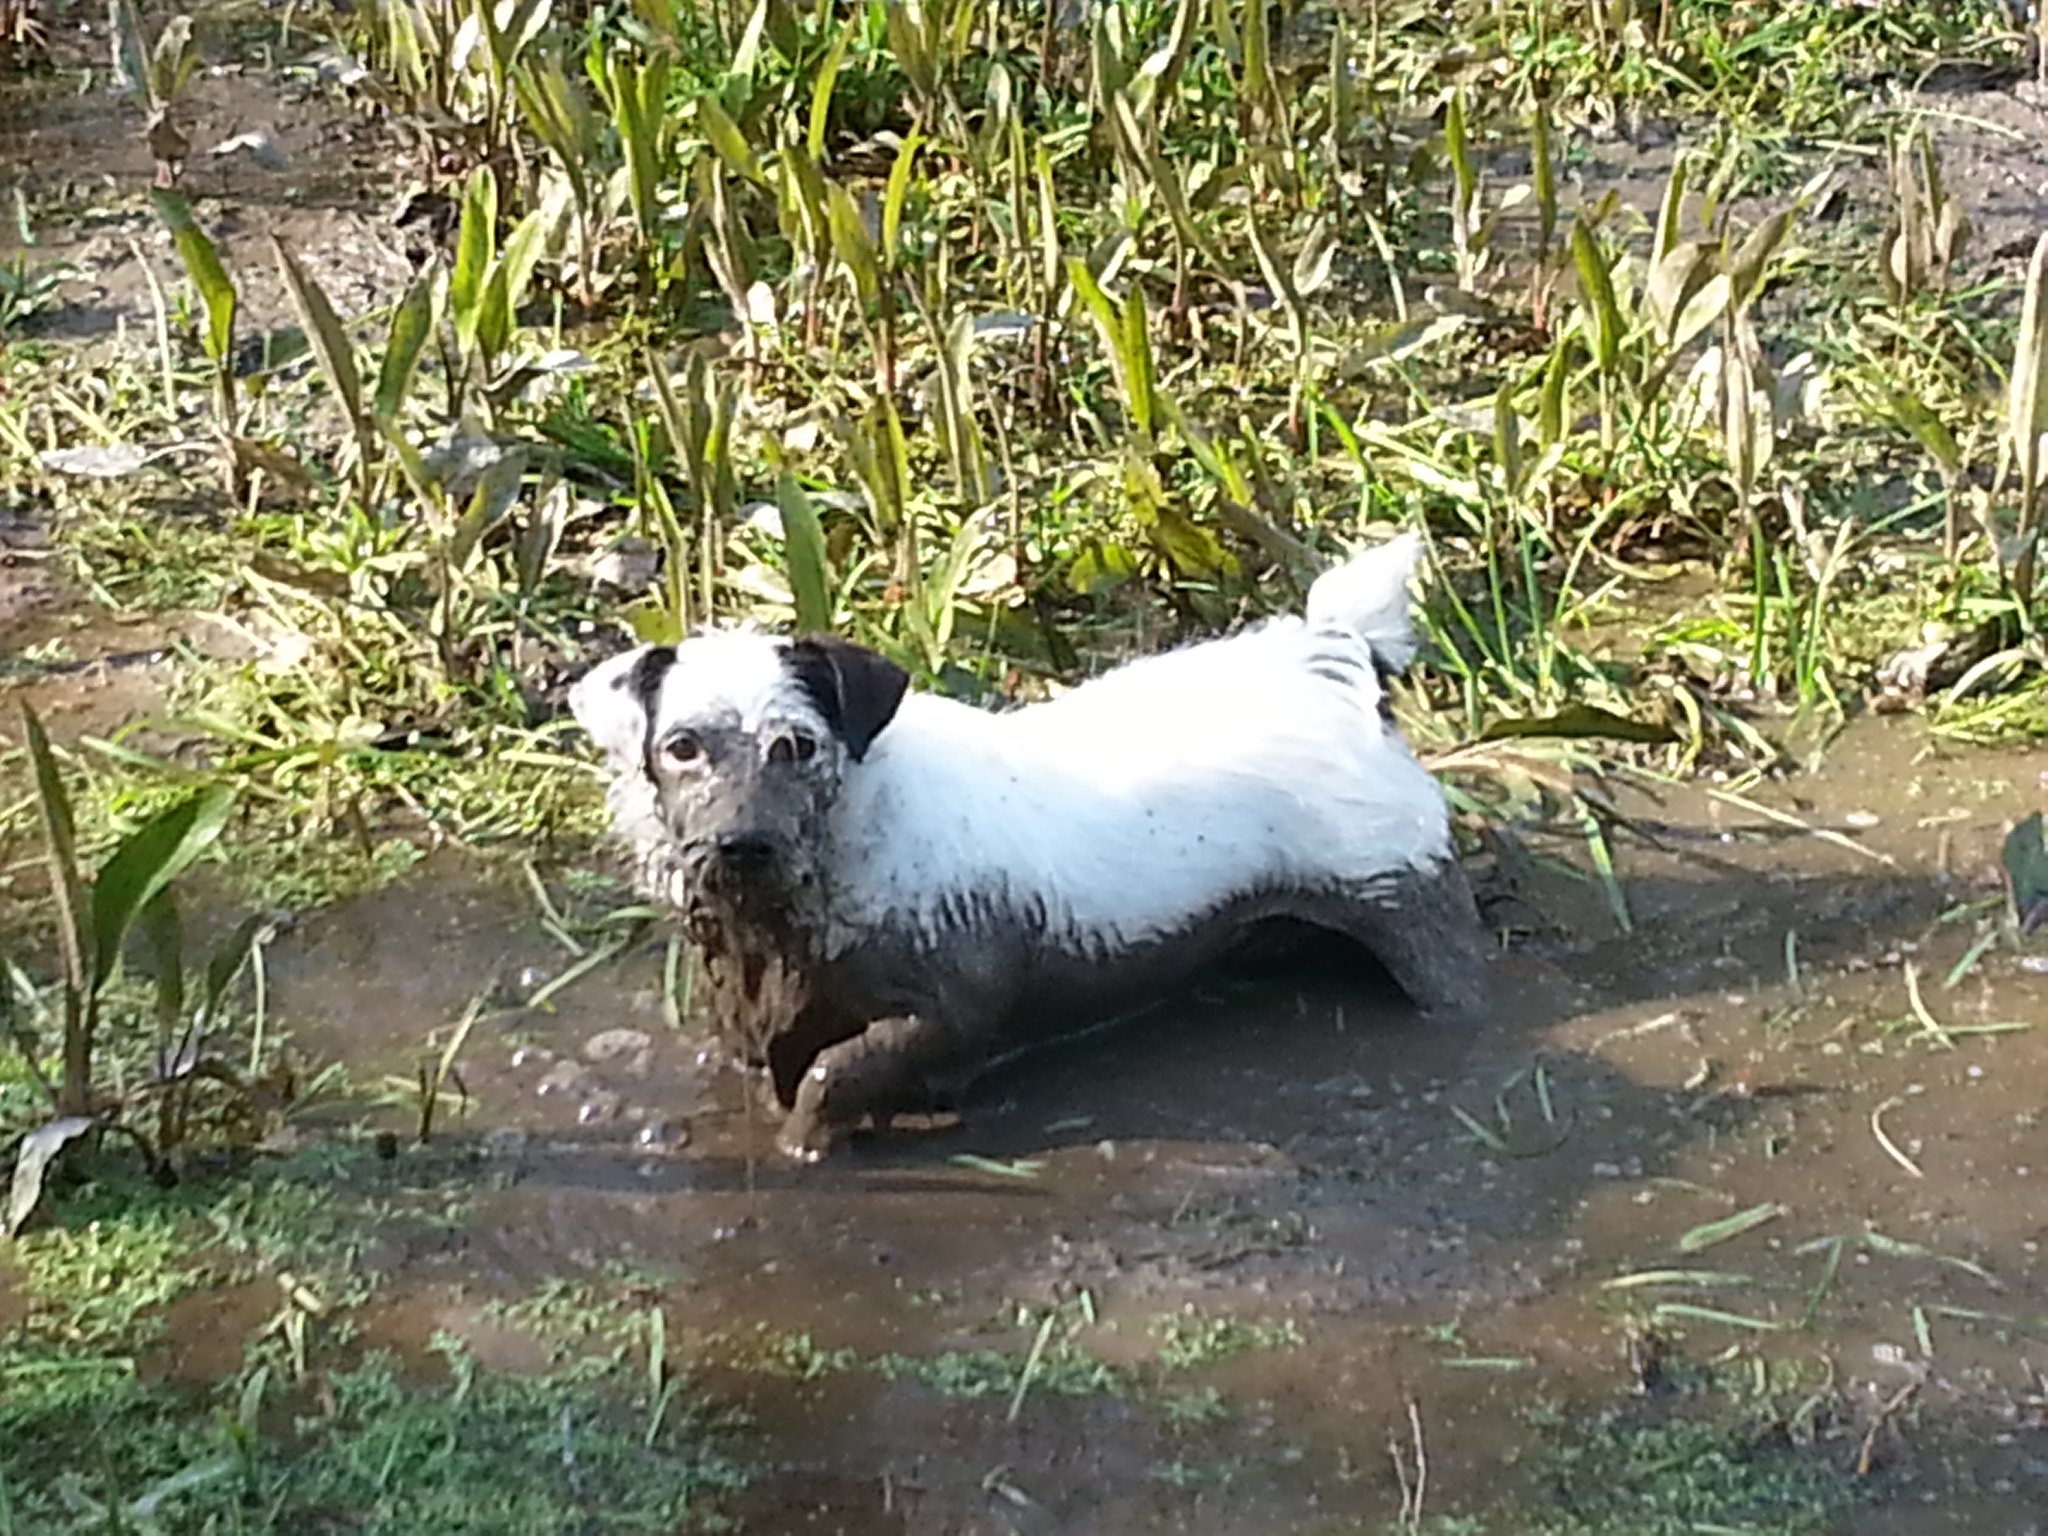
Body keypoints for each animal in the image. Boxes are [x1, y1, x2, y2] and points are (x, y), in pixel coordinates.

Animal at [573, 536, 1490, 1163]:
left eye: (796, 745)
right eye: (683, 746)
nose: (741, 845)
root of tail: (1338, 657)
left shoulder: (950, 1008)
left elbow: (839, 1073)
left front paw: (807, 1146)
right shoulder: (766, 1020)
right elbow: (787, 1068)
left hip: (1406, 906)